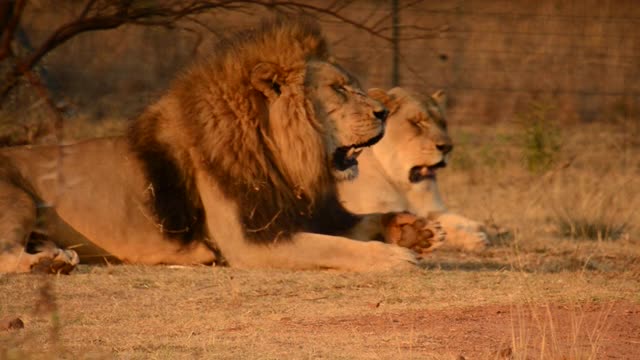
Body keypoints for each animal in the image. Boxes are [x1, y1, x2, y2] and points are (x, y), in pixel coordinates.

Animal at [0, 19, 416, 272]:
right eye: (339, 89)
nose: (383, 112)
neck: (282, 159)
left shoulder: (298, 213)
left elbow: (361, 222)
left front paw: (411, 229)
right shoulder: (249, 243)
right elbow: (333, 246)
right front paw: (395, 256)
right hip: (18, 202)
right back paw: (49, 264)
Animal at [340, 88, 490, 250]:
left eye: (443, 124)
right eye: (418, 123)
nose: (447, 147)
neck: (404, 185)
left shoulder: (433, 210)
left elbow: (453, 220)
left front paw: (476, 226)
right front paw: (475, 239)